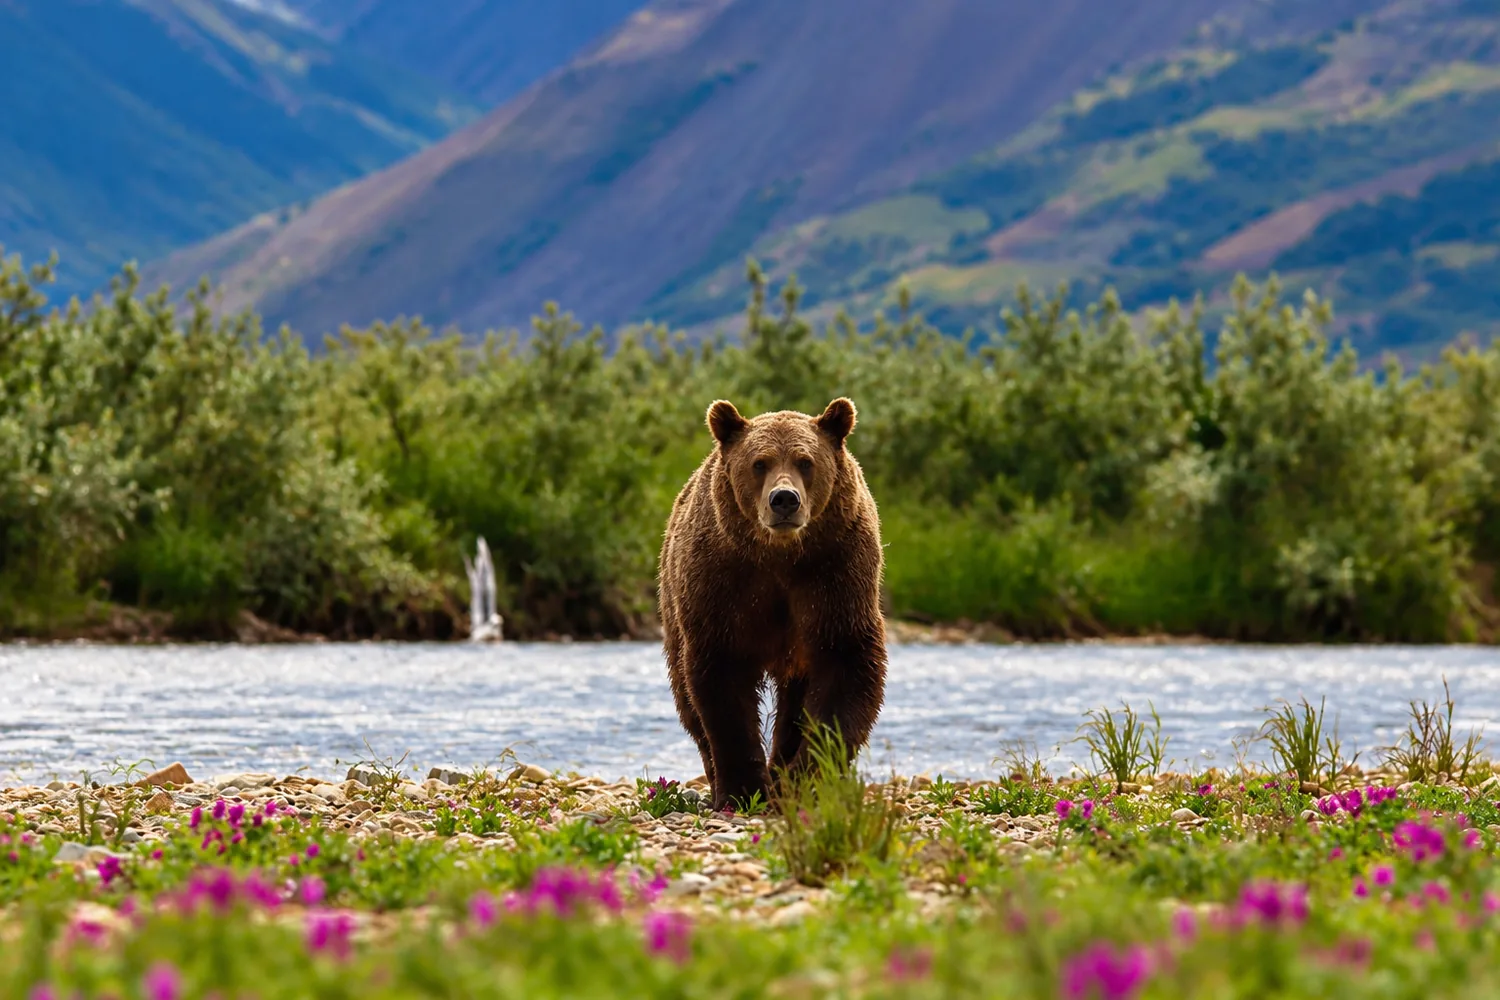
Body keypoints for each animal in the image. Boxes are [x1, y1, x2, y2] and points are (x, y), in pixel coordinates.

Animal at [658, 397, 888, 811]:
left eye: (805, 461)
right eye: (759, 462)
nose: (784, 499)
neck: (780, 556)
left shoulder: (834, 575)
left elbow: (846, 666)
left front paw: (805, 779)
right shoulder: (723, 580)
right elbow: (722, 681)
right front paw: (743, 788)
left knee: (794, 703)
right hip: (672, 606)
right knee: (687, 698)